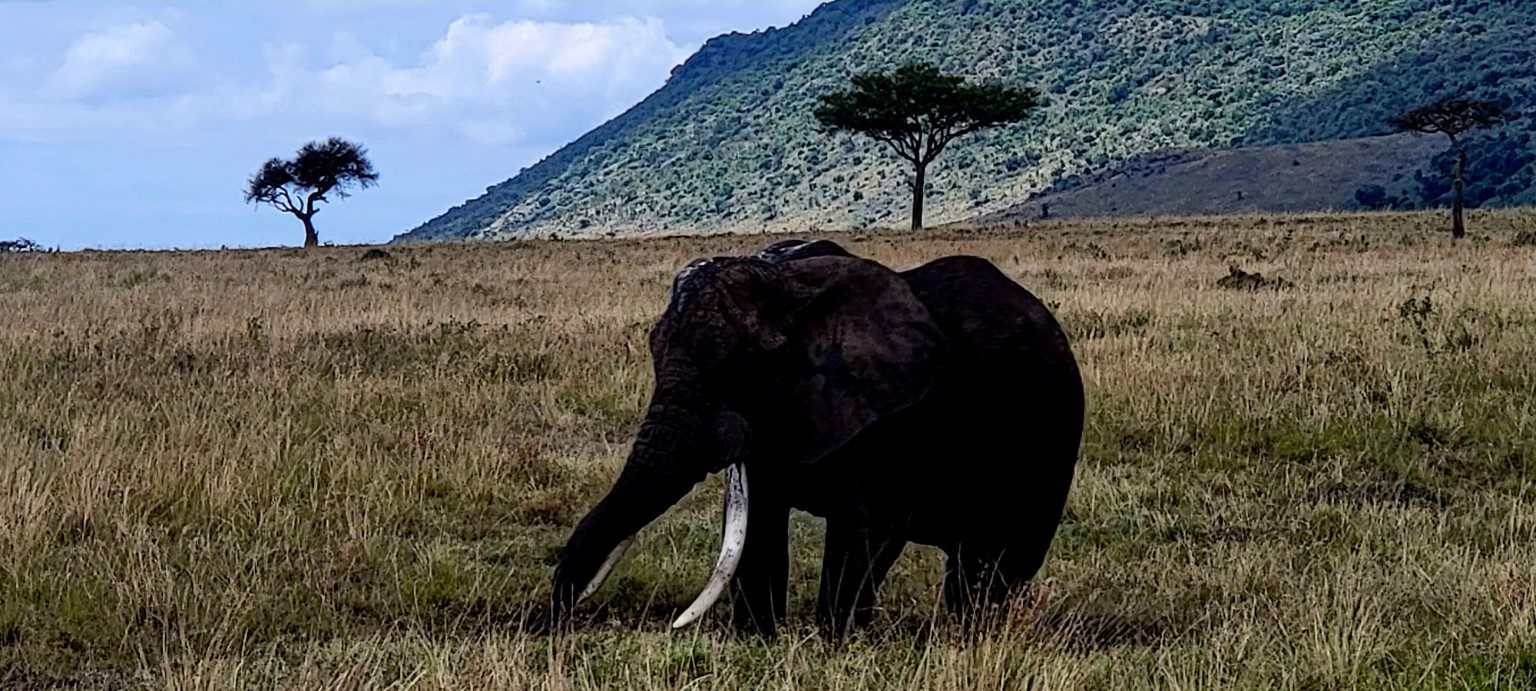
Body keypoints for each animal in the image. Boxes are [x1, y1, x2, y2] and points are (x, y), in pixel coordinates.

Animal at [545, 239, 1084, 636]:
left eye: (747, 365)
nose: (551, 622)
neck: (793, 282)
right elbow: (760, 524)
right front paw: (759, 638)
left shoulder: (888, 416)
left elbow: (867, 526)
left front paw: (837, 641)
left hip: (1051, 434)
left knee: (996, 561)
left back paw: (976, 632)